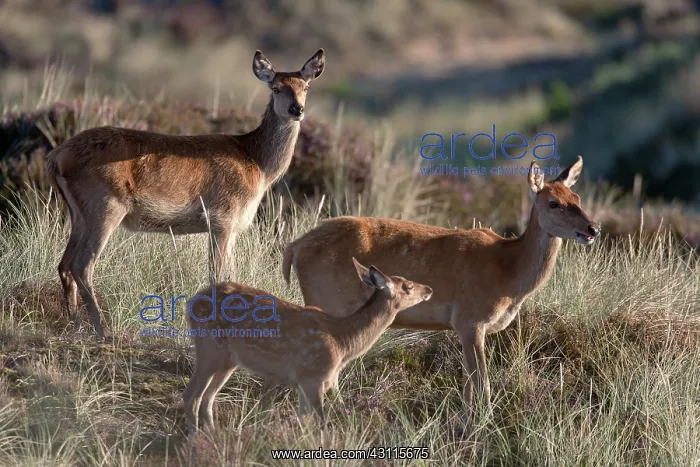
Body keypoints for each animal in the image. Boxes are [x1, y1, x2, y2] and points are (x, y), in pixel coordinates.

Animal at [44, 48, 325, 340]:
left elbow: (231, 275)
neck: (258, 166)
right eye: (276, 88)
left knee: (64, 265)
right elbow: (217, 275)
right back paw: (102, 329)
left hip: (79, 213)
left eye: (305, 87)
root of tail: (56, 158)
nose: (297, 109)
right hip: (105, 204)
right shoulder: (222, 216)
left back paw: (76, 324)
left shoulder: (233, 227)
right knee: (82, 265)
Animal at [182, 258, 433, 433]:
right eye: (408, 286)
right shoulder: (313, 375)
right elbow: (321, 420)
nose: (429, 289)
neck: (343, 341)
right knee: (192, 396)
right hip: (209, 347)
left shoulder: (306, 380)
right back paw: (195, 438)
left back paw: (212, 434)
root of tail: (191, 303)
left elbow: (304, 420)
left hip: (228, 360)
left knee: (207, 397)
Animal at [282, 156, 601, 419]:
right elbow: (481, 381)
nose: (593, 229)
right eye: (553, 203)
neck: (508, 272)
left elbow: (469, 383)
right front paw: (482, 423)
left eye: (577, 196)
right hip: (326, 301)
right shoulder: (469, 319)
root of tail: (294, 247)